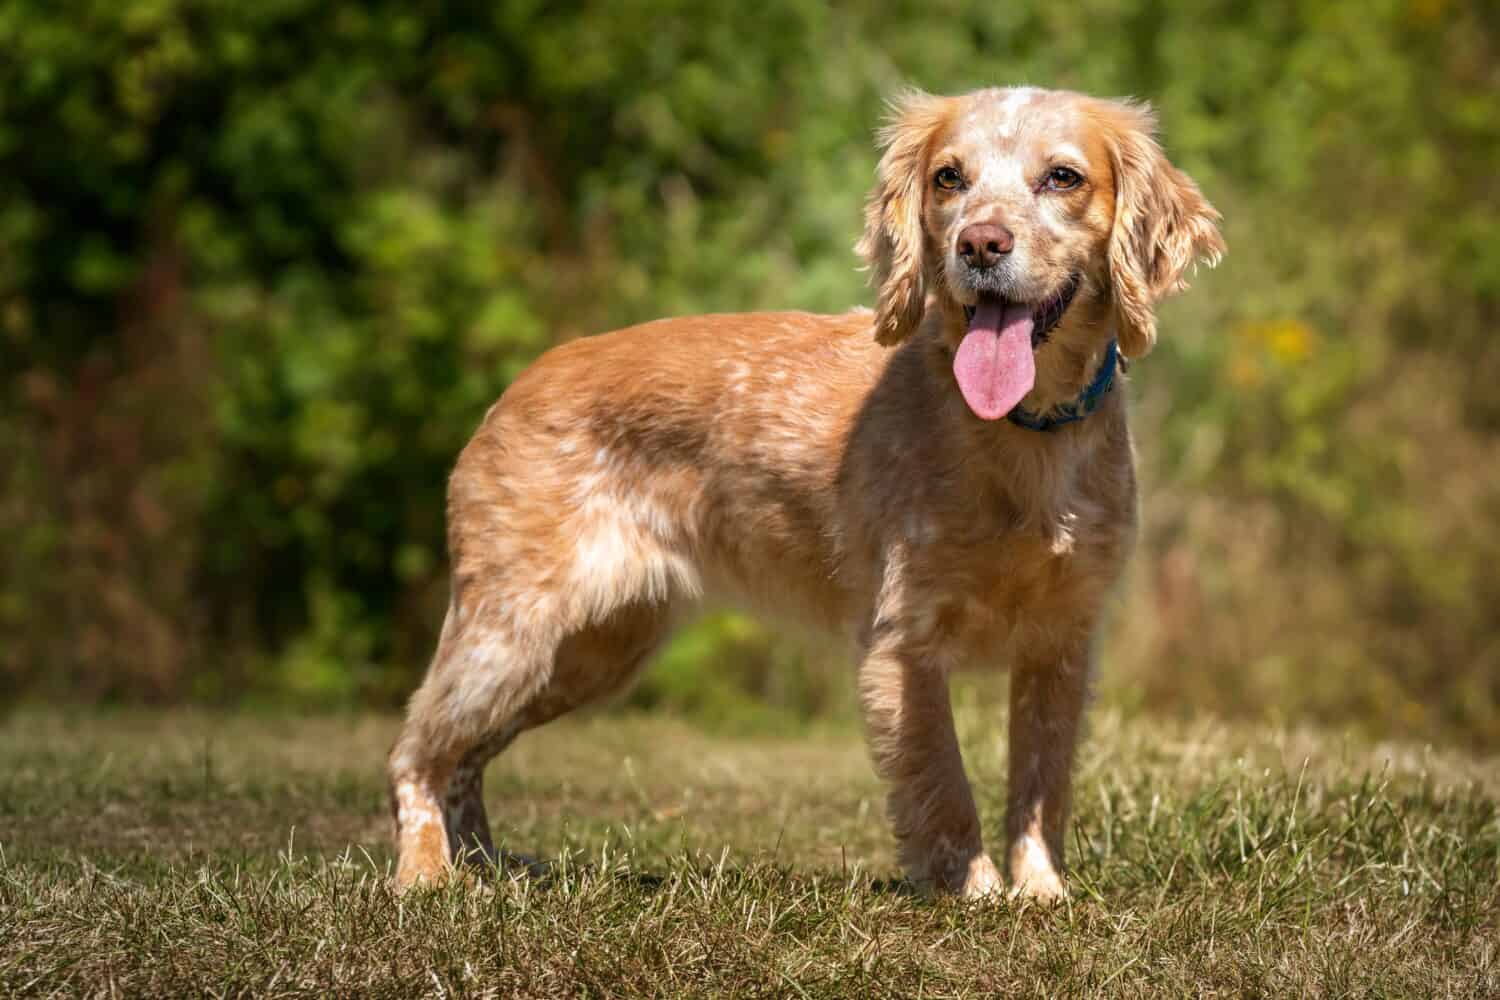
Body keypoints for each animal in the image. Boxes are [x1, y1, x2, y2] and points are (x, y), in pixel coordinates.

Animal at [393, 83, 1224, 899]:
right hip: (511, 633)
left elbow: (1040, 784)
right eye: (948, 178)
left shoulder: (1063, 641)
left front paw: (1041, 889)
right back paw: (426, 876)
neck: (1023, 434)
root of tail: (514, 389)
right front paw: (977, 891)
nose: (980, 245)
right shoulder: (902, 642)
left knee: (464, 757)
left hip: (590, 651)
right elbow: (946, 787)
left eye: (1063, 177)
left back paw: (488, 867)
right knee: (415, 748)